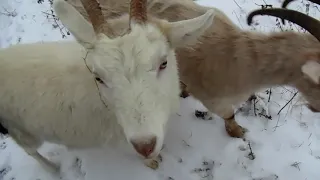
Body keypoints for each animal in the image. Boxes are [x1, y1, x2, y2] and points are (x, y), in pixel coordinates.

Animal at [0, 0, 215, 173]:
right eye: (98, 78)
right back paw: (53, 169)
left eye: (163, 63)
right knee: (30, 150)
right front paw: (152, 162)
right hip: (19, 129)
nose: (144, 145)